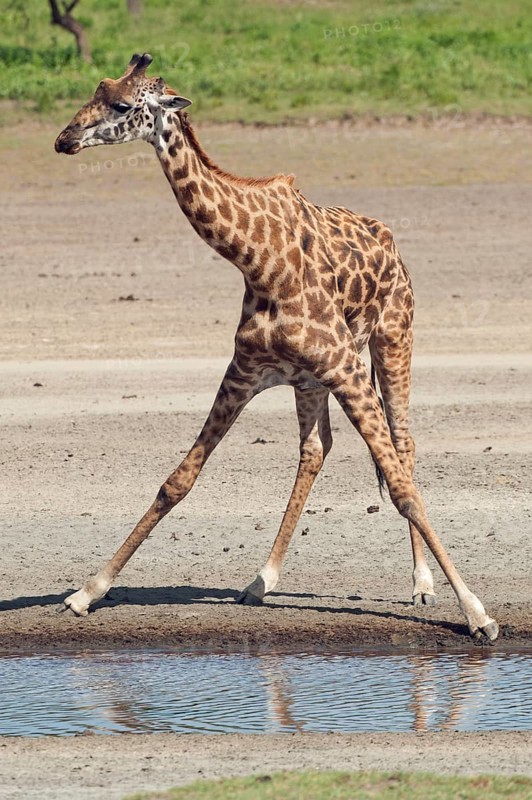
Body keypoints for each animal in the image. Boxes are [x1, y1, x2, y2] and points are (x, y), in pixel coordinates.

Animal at [54, 53, 498, 642]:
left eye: (123, 105)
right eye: (96, 90)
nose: (64, 139)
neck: (256, 259)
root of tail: (390, 240)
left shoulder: (345, 368)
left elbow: (403, 490)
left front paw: (477, 613)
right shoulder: (245, 370)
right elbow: (178, 480)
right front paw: (88, 592)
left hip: (391, 340)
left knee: (403, 446)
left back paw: (422, 584)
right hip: (311, 381)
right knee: (315, 449)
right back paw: (261, 579)